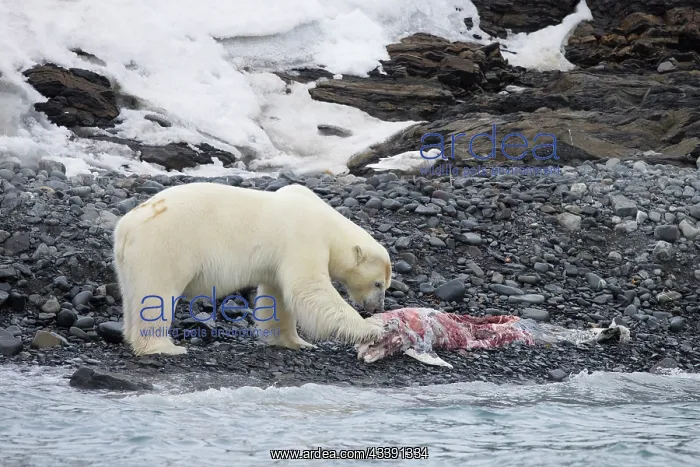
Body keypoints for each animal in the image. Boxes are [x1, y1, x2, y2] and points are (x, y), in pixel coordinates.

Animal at [112, 182, 392, 356]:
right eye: (378, 283)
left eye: (386, 285)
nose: (377, 308)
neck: (327, 223)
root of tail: (126, 228)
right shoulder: (303, 240)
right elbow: (309, 288)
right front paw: (371, 329)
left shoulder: (278, 259)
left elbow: (278, 297)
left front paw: (294, 342)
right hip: (166, 247)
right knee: (157, 294)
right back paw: (165, 347)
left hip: (128, 261)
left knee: (132, 295)